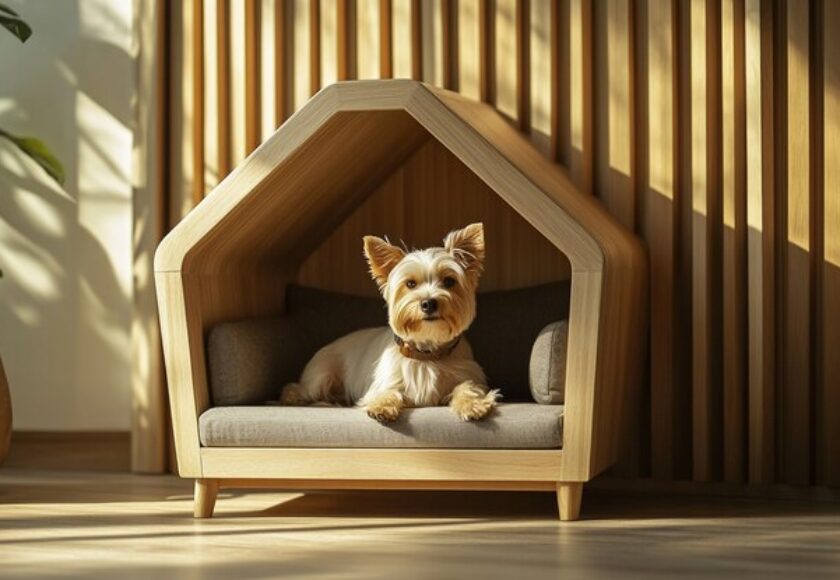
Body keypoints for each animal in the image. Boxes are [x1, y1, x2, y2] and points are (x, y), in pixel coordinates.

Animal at [280, 222, 498, 422]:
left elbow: (467, 386)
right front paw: (382, 407)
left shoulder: (468, 373)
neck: (427, 352)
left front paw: (472, 404)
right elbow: (387, 392)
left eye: (449, 281)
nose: (428, 303)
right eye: (410, 283)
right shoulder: (385, 382)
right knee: (302, 387)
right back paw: (292, 396)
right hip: (322, 376)